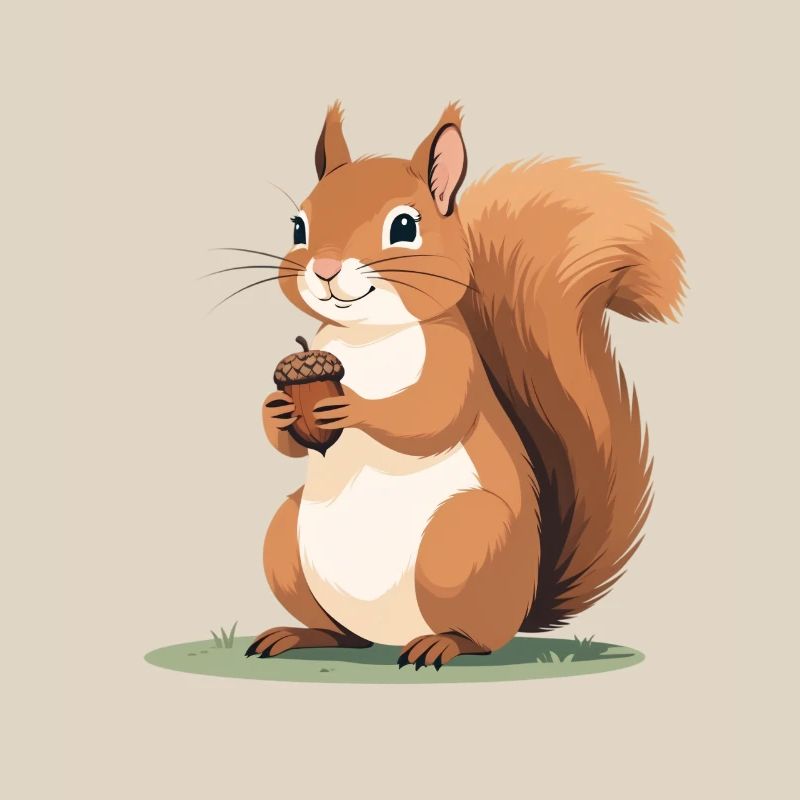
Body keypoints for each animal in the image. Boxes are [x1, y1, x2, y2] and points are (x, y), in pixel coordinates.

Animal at [247, 102, 685, 669]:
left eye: (404, 226)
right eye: (298, 226)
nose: (323, 268)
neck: (366, 334)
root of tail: (523, 604)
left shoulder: (454, 363)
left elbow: (430, 416)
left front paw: (353, 408)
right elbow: (287, 442)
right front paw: (277, 409)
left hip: (461, 541)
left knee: (479, 637)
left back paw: (442, 644)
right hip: (287, 540)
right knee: (343, 634)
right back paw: (300, 635)